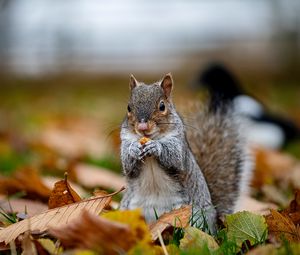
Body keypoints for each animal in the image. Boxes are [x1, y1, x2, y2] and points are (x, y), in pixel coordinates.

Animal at [118, 72, 252, 231]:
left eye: (162, 106)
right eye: (128, 107)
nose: (142, 127)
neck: (151, 137)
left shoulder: (179, 145)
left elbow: (175, 158)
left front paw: (155, 147)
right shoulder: (125, 141)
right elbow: (127, 164)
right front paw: (133, 149)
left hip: (194, 216)